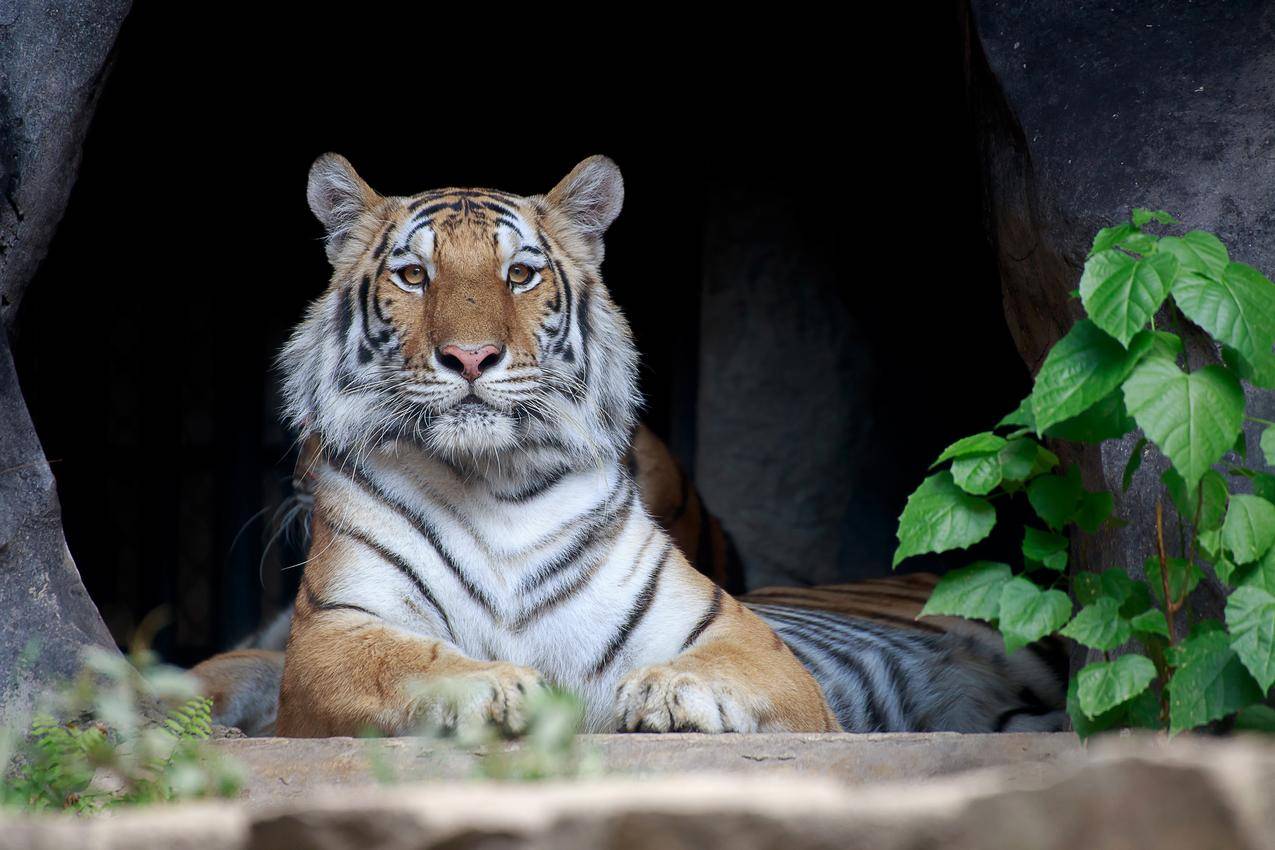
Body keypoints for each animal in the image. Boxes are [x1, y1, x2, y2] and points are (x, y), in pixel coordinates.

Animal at [191, 156, 1065, 739]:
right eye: (412, 275)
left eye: (519, 274)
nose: (471, 357)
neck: (490, 481)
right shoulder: (335, 633)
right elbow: (408, 662)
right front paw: (499, 690)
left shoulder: (740, 636)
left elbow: (723, 664)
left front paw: (668, 695)